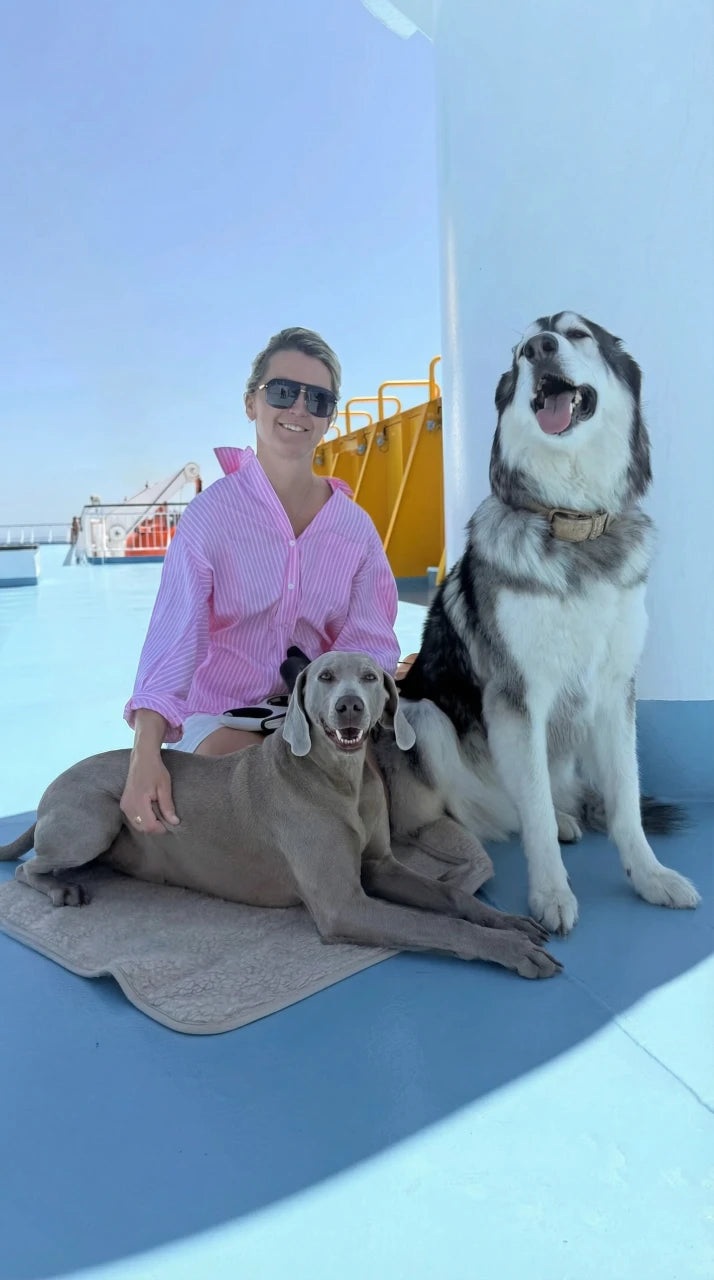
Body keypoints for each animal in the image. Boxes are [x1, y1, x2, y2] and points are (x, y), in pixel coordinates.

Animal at [0, 652, 560, 979]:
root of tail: (50, 792)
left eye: (371, 678)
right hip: (95, 817)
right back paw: (59, 888)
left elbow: (451, 896)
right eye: (326, 677)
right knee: (29, 869)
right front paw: (508, 948)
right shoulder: (343, 907)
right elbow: (439, 927)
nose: (350, 707)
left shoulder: (380, 867)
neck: (338, 781)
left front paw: (509, 921)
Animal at [374, 313, 700, 935]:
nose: (539, 348)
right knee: (482, 810)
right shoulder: (518, 696)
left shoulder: (615, 691)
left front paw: (650, 877)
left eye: (577, 334)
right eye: (520, 350)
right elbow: (536, 818)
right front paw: (551, 893)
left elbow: (626, 801)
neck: (573, 523)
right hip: (422, 716)